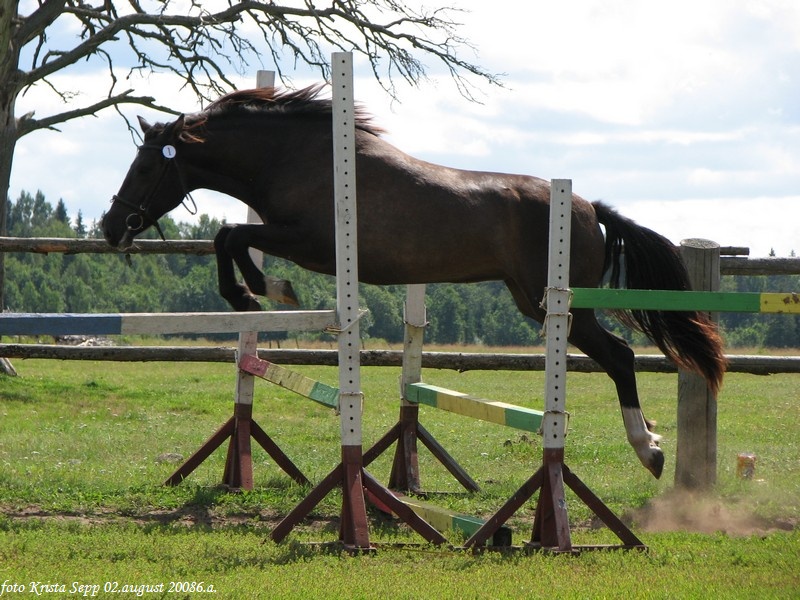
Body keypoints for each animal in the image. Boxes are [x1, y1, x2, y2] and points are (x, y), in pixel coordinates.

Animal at [100, 83, 724, 478]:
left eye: (145, 166)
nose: (110, 228)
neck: (296, 156)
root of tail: (591, 207)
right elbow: (228, 235)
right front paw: (261, 291)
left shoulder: (311, 243)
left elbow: (228, 234)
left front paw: (259, 290)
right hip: (538, 304)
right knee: (617, 355)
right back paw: (651, 445)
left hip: (558, 306)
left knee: (619, 356)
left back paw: (650, 451)